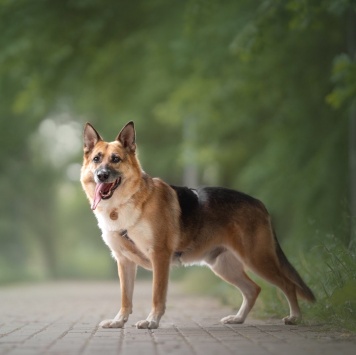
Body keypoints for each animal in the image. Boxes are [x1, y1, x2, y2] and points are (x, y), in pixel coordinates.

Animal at [80, 121, 314, 330]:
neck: (125, 203)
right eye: (96, 159)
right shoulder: (124, 261)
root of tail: (258, 202)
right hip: (223, 266)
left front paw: (151, 321)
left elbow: (157, 294)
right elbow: (125, 298)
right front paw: (119, 321)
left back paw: (295, 317)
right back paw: (238, 319)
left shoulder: (159, 256)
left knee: (288, 285)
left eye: (116, 159)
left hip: (257, 259)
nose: (102, 175)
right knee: (253, 289)